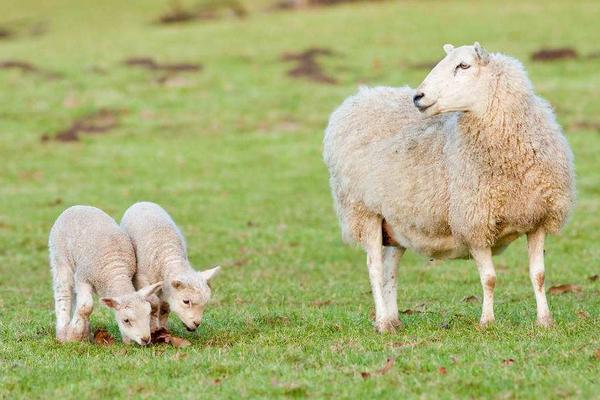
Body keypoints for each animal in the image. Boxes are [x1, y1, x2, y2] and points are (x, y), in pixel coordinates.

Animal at [49, 205, 163, 346]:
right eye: (126, 320)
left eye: (148, 314)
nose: (145, 339)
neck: (115, 272)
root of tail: (77, 206)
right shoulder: (83, 277)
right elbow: (86, 306)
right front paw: (73, 336)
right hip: (60, 258)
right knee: (63, 293)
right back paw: (62, 332)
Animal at [119, 202, 220, 332]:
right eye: (186, 301)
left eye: (206, 302)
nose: (196, 324)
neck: (169, 255)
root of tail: (142, 202)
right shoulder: (142, 279)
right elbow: (153, 304)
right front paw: (154, 329)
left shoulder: (166, 289)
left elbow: (165, 308)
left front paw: (163, 328)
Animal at [324, 42, 576, 332]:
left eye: (463, 65)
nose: (418, 97)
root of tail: (356, 100)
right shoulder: (474, 223)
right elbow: (489, 278)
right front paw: (487, 322)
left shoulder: (538, 220)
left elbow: (539, 275)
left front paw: (545, 321)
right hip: (364, 212)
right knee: (374, 267)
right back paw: (384, 323)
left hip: (397, 222)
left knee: (390, 270)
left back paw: (394, 320)